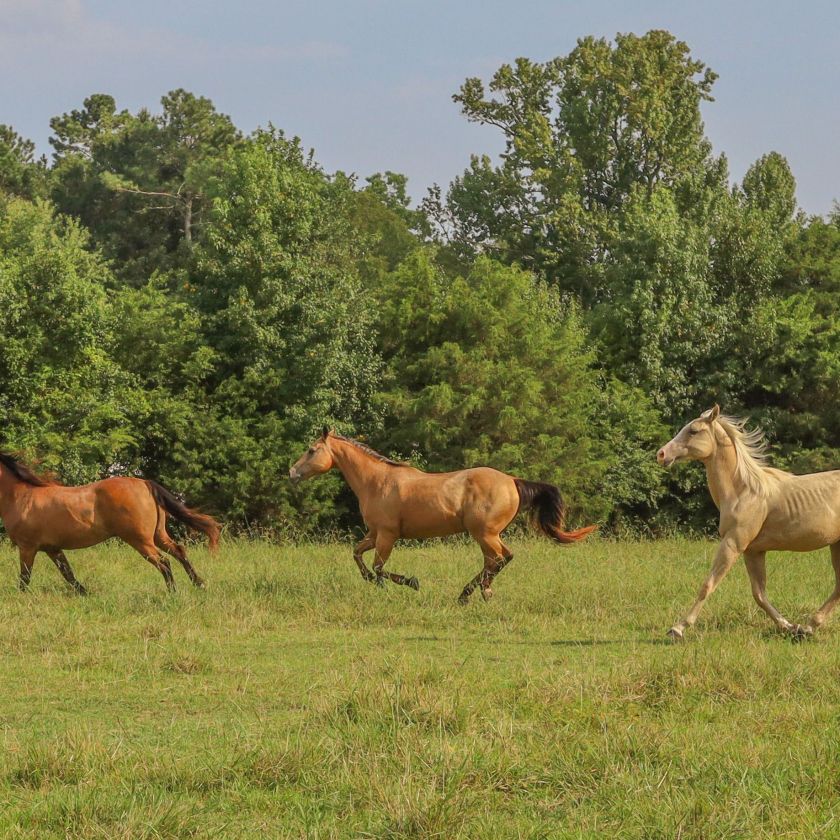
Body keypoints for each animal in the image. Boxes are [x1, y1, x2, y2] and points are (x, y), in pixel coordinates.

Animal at [0, 454, 221, 593]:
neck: (21, 497)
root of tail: (144, 483)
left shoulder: (27, 547)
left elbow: (25, 578)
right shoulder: (52, 548)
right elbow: (68, 574)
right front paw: (85, 593)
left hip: (140, 540)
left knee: (163, 562)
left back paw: (173, 592)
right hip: (158, 535)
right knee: (179, 551)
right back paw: (199, 584)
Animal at [289, 428, 596, 603]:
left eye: (311, 450)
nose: (292, 472)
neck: (377, 482)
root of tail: (512, 481)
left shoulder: (387, 535)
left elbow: (378, 567)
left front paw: (408, 583)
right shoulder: (374, 534)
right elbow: (357, 555)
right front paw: (375, 583)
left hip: (483, 534)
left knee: (497, 560)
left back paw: (475, 593)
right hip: (491, 534)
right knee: (502, 559)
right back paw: (473, 593)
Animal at [658, 404, 840, 640]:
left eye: (694, 431)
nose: (661, 454)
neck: (744, 491)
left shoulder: (733, 543)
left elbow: (708, 584)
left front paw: (678, 629)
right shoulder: (753, 551)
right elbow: (759, 594)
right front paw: (788, 626)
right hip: (836, 545)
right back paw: (807, 627)